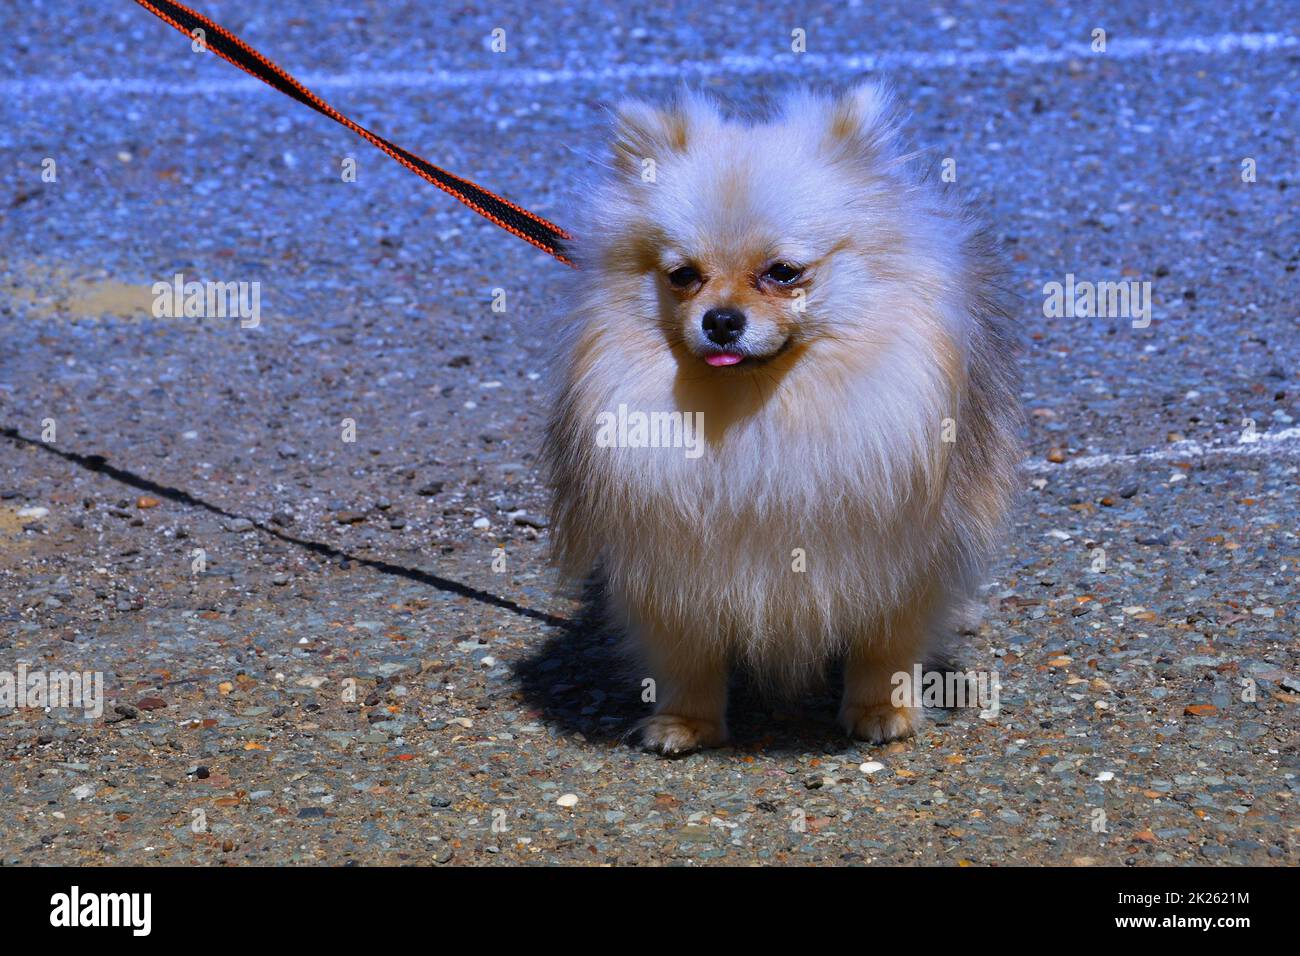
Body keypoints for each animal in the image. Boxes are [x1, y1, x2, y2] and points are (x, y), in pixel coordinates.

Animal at [543, 82, 1019, 754]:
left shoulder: (897, 548)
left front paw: (882, 708)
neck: (756, 414)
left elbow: (886, 643)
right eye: (683, 276)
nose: (720, 319)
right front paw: (685, 722)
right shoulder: (672, 556)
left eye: (783, 273)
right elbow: (686, 654)